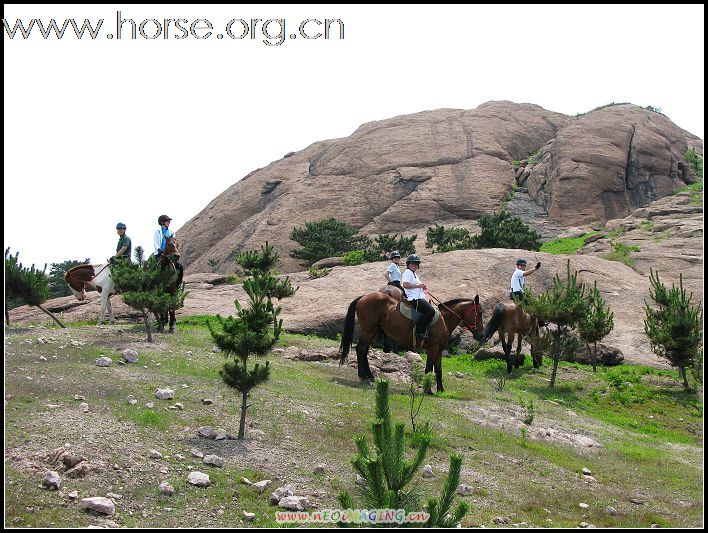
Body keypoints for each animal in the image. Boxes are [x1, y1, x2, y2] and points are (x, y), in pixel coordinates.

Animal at [340, 290, 484, 390]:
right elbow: (428, 369)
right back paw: (363, 376)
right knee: (361, 349)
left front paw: (441, 390)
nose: (482, 335)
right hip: (369, 330)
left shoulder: (439, 350)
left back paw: (369, 375)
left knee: (363, 351)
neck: (444, 320)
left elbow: (438, 370)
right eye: (479, 313)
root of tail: (363, 297)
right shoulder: (433, 348)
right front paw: (428, 390)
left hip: (372, 331)